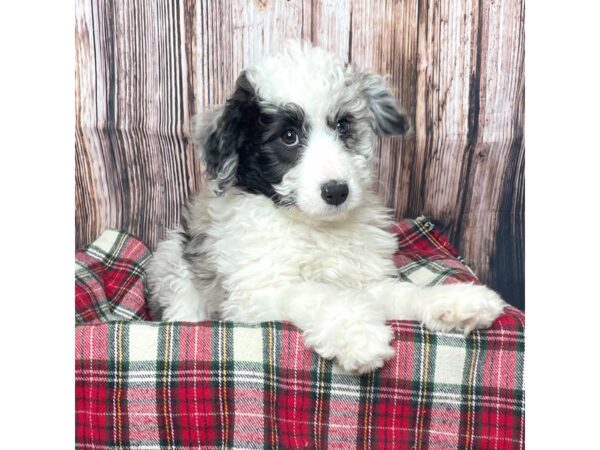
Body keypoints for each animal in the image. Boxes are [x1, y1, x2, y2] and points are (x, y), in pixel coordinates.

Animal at [146, 41, 506, 372]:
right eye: (288, 136)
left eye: (343, 126)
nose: (337, 191)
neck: (315, 227)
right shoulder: (253, 295)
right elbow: (316, 294)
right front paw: (357, 335)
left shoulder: (361, 280)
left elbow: (401, 293)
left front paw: (455, 301)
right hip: (176, 268)